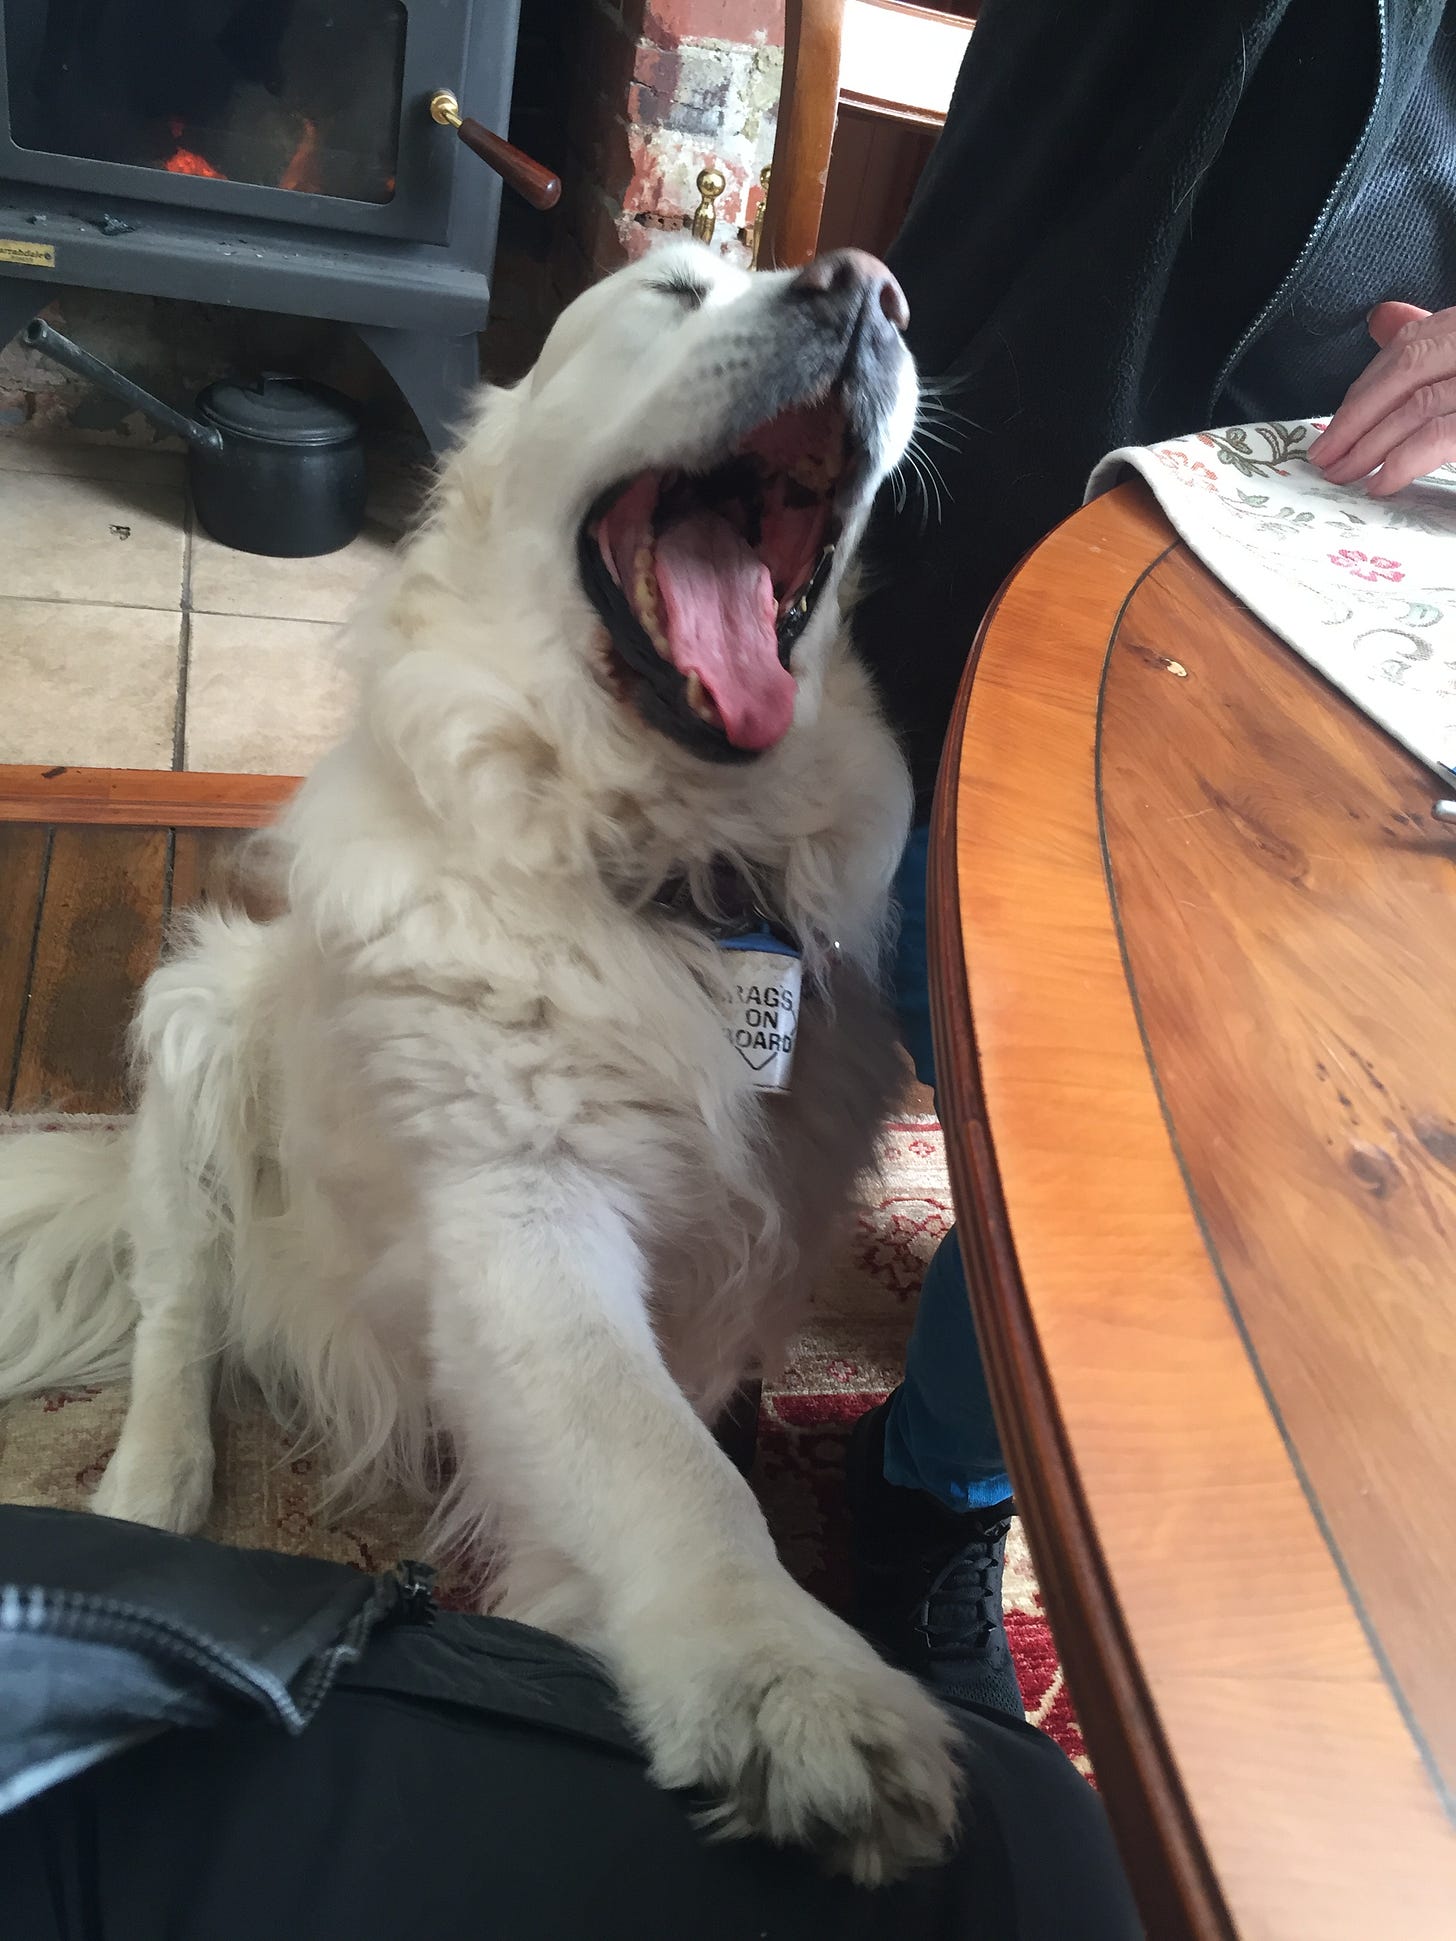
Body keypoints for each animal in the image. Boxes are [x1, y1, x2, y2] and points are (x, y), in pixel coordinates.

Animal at [0, 242, 960, 1880]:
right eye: (673, 288)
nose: (867, 287)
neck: (685, 879)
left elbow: (642, 1456)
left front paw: (573, 1628)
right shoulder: (525, 1217)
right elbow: (670, 1471)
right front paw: (785, 1677)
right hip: (200, 1025)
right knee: (178, 1311)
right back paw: (145, 1493)